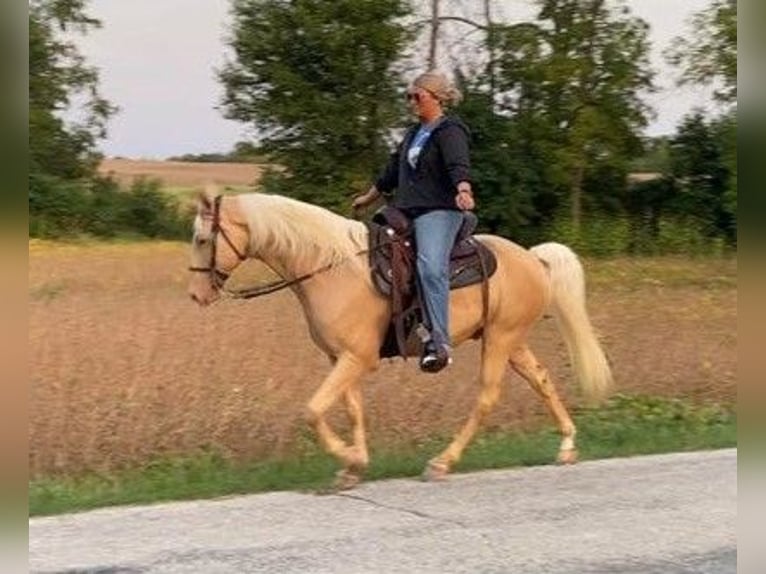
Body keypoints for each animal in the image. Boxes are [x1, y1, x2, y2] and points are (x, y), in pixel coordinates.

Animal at [189, 191, 616, 488]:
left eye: (202, 239)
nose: (196, 296)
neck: (330, 267)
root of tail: (533, 259)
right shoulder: (341, 357)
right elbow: (352, 410)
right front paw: (353, 466)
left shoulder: (356, 358)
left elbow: (311, 410)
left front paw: (348, 457)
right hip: (509, 340)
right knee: (541, 379)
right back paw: (567, 446)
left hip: (500, 339)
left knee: (487, 396)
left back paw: (442, 462)